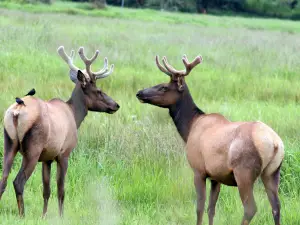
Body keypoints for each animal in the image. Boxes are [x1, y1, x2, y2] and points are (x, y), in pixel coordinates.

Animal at [0, 45, 119, 216]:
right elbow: (61, 190)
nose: (116, 105)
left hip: (9, 143)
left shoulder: (47, 158)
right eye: (99, 91)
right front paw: (61, 216)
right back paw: (22, 215)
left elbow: (46, 190)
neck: (75, 116)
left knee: (3, 179)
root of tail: (17, 111)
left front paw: (44, 216)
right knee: (18, 181)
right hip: (32, 149)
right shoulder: (64, 154)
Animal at [136, 55, 284, 225]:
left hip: (244, 173)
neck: (189, 128)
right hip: (272, 173)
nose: (139, 93)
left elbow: (199, 208)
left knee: (250, 208)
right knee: (276, 207)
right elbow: (211, 209)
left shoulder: (198, 170)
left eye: (163, 87)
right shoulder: (216, 177)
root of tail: (275, 143)